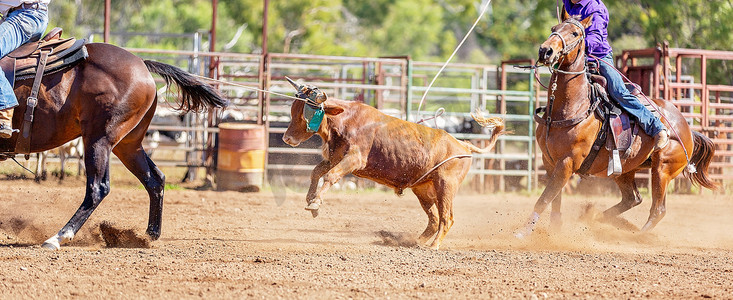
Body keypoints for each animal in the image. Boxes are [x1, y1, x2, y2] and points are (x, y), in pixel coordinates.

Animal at [0, 42, 227, 248]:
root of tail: (142, 64)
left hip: (99, 140)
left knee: (98, 188)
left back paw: (60, 236)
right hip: (128, 145)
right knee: (155, 180)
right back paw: (148, 235)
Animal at [280, 79, 504, 248]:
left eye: (304, 114)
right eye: (292, 110)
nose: (286, 138)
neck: (345, 119)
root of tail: (463, 145)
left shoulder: (354, 158)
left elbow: (330, 175)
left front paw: (315, 203)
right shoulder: (336, 157)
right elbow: (316, 171)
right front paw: (310, 198)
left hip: (446, 185)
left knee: (446, 218)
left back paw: (433, 246)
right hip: (424, 190)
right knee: (433, 220)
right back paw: (414, 242)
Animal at [516, 14, 716, 238]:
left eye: (575, 33)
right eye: (554, 28)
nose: (545, 51)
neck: (570, 107)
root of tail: (687, 129)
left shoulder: (568, 162)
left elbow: (544, 198)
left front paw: (523, 232)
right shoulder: (550, 161)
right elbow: (554, 200)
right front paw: (554, 230)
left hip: (663, 168)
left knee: (658, 209)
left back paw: (635, 235)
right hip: (626, 169)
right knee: (633, 199)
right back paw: (595, 219)